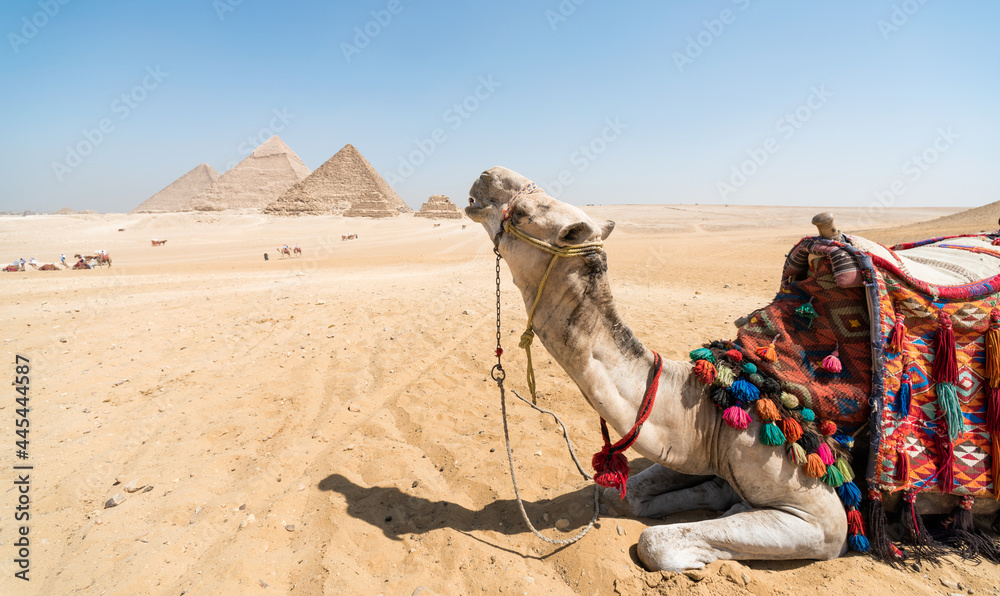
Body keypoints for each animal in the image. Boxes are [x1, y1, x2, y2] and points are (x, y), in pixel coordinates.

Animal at [465, 166, 1000, 571]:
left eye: (525, 212)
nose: (487, 174)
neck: (718, 400)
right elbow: (634, 494)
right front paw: (720, 497)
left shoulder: (826, 520)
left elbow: (655, 541)